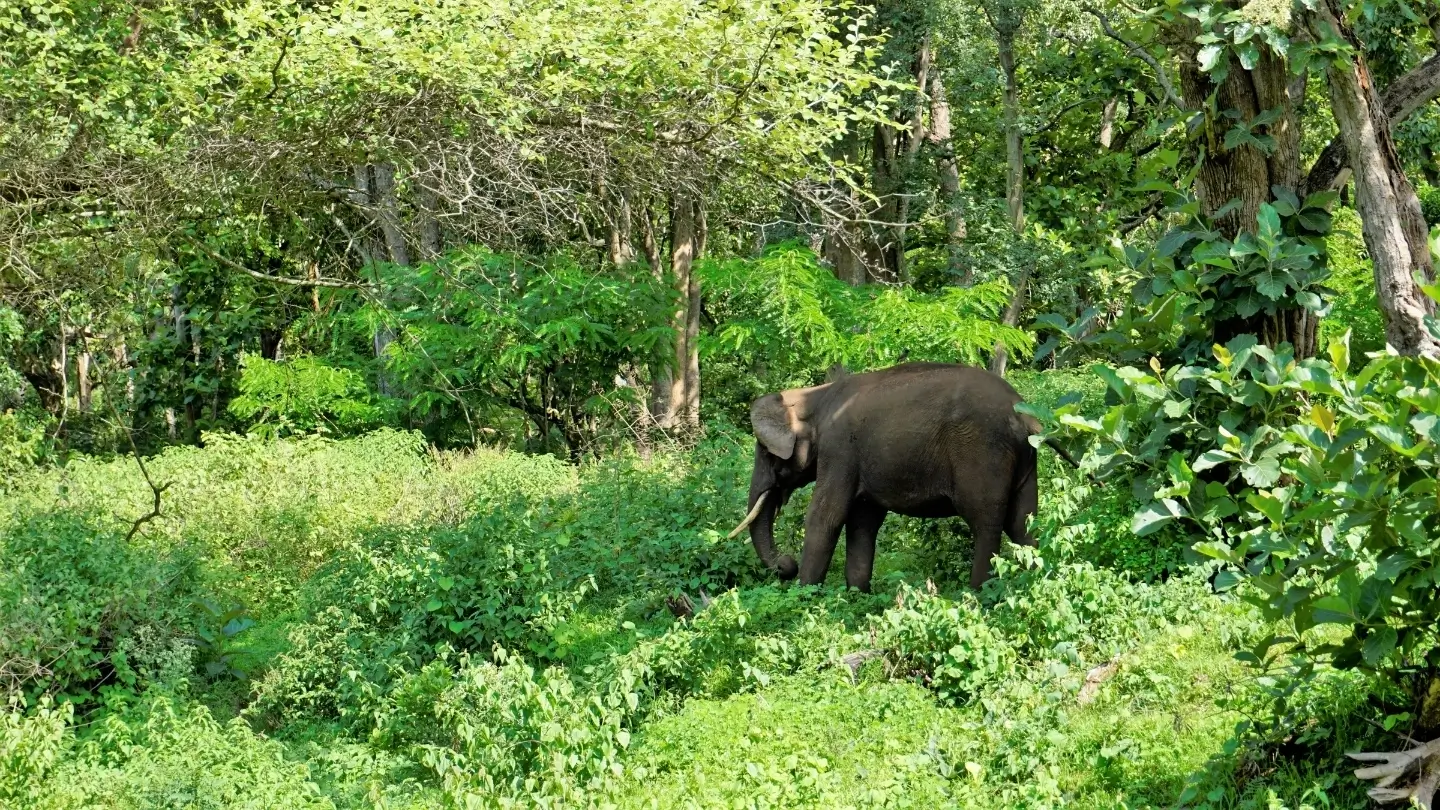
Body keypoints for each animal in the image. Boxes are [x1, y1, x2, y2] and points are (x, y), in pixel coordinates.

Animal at [727, 362, 1079, 591]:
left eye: (764, 452)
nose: (786, 565)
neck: (814, 395)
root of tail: (1025, 413)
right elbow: (863, 521)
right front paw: (856, 595)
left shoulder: (839, 450)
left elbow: (825, 516)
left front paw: (807, 595)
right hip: (1024, 460)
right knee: (1023, 522)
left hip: (982, 453)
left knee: (986, 521)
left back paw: (977, 594)